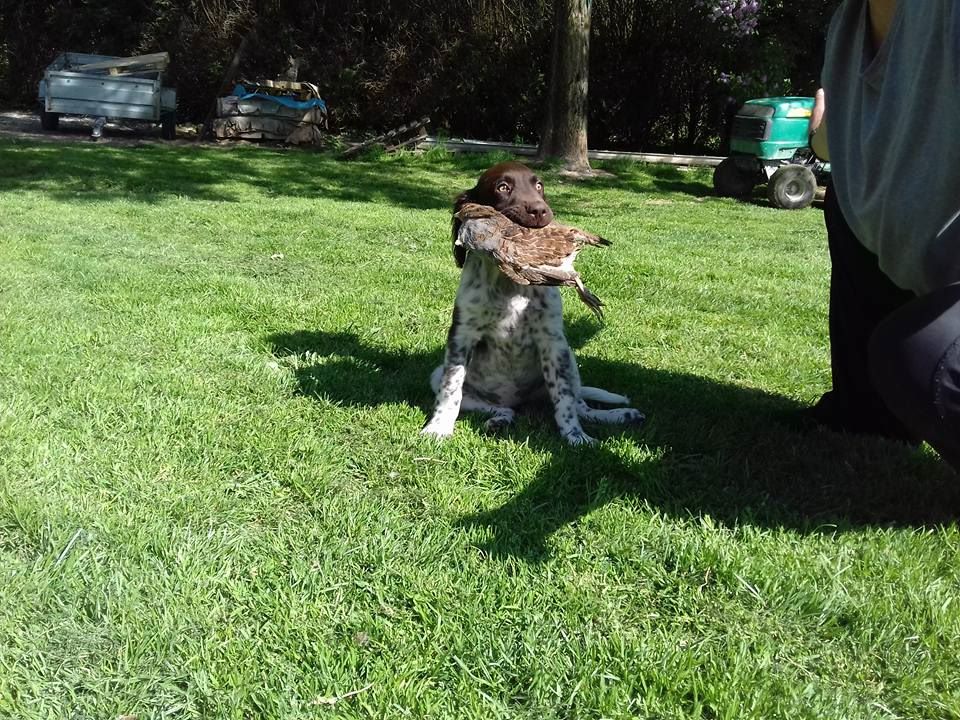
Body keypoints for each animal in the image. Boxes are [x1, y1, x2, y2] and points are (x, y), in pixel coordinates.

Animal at [422, 162, 640, 444]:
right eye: (503, 187)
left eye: (539, 185)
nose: (540, 211)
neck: (509, 286)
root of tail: (517, 401)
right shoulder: (461, 336)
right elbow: (451, 388)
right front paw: (438, 428)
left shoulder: (552, 341)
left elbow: (564, 399)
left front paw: (576, 437)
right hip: (438, 375)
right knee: (500, 408)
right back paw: (499, 420)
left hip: (569, 359)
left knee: (581, 406)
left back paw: (619, 415)